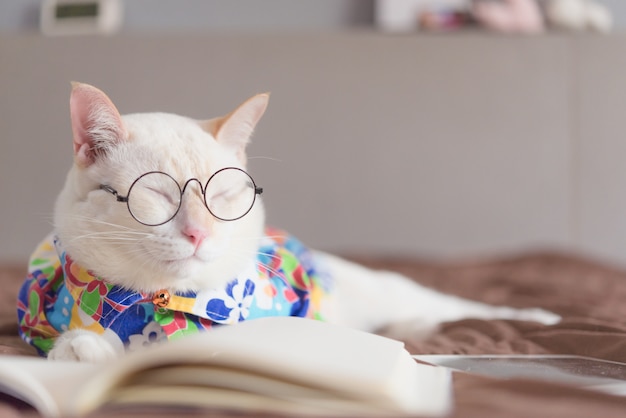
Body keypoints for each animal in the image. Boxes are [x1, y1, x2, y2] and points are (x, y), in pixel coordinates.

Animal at [17, 83, 560, 360]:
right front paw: (88, 346)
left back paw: (538, 319)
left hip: (391, 292)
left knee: (454, 305)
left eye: (222, 195)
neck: (161, 303)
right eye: (157, 193)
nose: (199, 232)